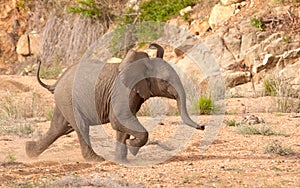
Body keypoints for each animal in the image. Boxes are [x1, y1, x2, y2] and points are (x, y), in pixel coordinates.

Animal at [27, 44, 205, 163]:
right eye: (165, 81)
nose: (203, 126)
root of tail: (56, 82)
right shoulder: (123, 90)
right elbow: (118, 119)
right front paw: (132, 146)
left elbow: (123, 122)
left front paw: (123, 159)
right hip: (68, 99)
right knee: (80, 127)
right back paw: (96, 160)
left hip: (64, 100)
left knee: (59, 127)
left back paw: (29, 152)